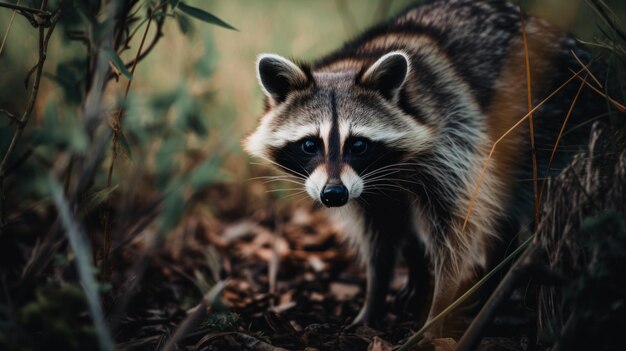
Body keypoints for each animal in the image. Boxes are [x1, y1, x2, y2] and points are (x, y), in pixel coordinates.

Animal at [243, 0, 600, 336]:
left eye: (358, 145)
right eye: (309, 145)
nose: (333, 195)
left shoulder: (456, 134)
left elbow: (456, 228)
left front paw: (438, 308)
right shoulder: (368, 189)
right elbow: (381, 234)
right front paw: (375, 297)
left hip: (558, 129)